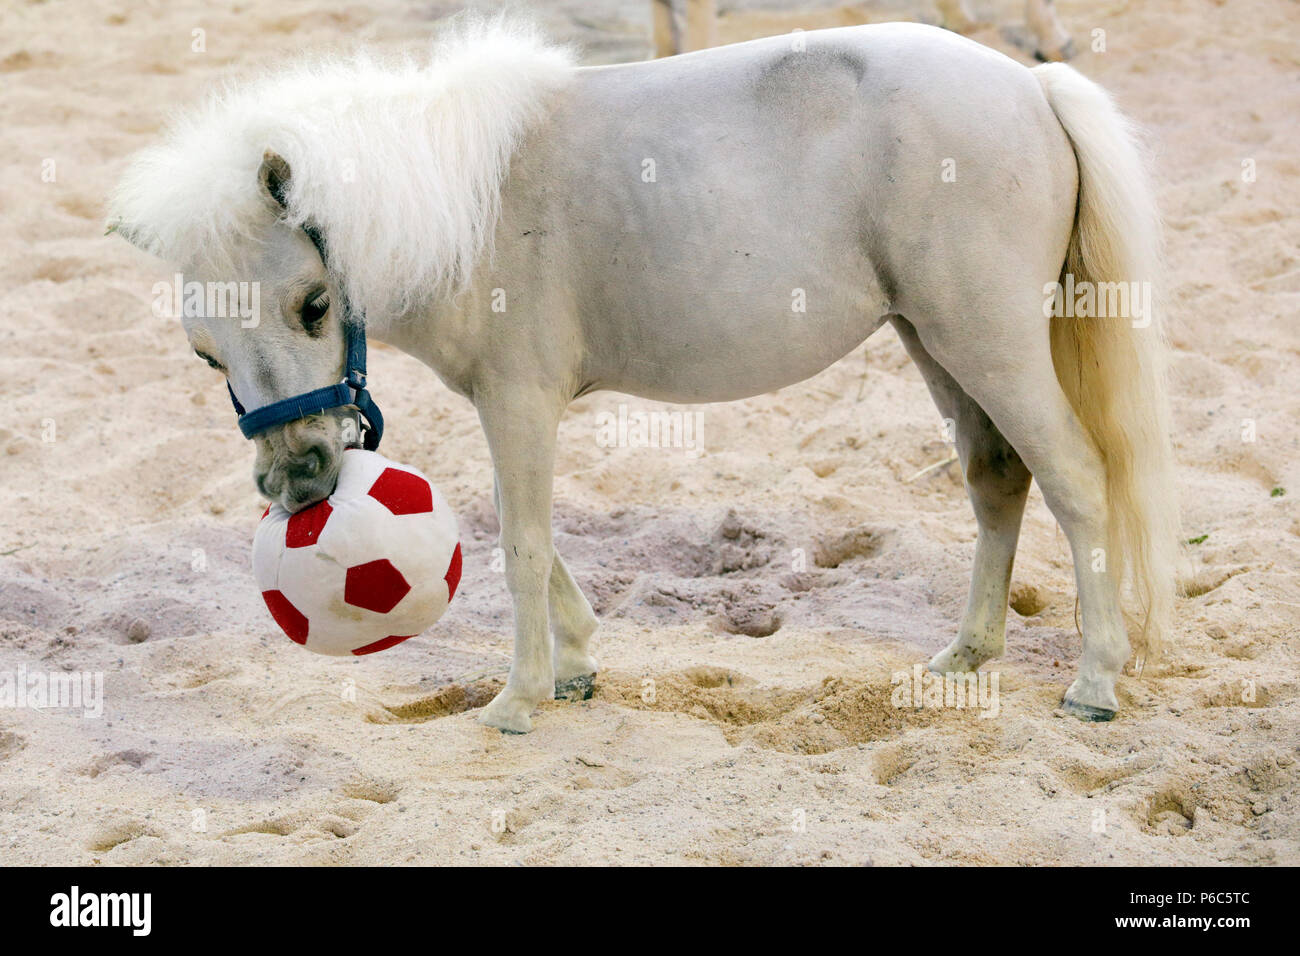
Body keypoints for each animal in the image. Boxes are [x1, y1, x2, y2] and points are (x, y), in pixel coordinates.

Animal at [109, 18, 1180, 733]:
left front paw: (520, 699)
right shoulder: (505, 408)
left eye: (314, 306)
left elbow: (521, 543)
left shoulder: (520, 402)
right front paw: (578, 666)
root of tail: (1036, 89)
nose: (299, 485)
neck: (463, 203)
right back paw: (967, 655)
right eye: (203, 350)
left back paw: (1094, 681)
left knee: (1078, 483)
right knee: (999, 482)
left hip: (988, 344)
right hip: (936, 343)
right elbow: (521, 531)